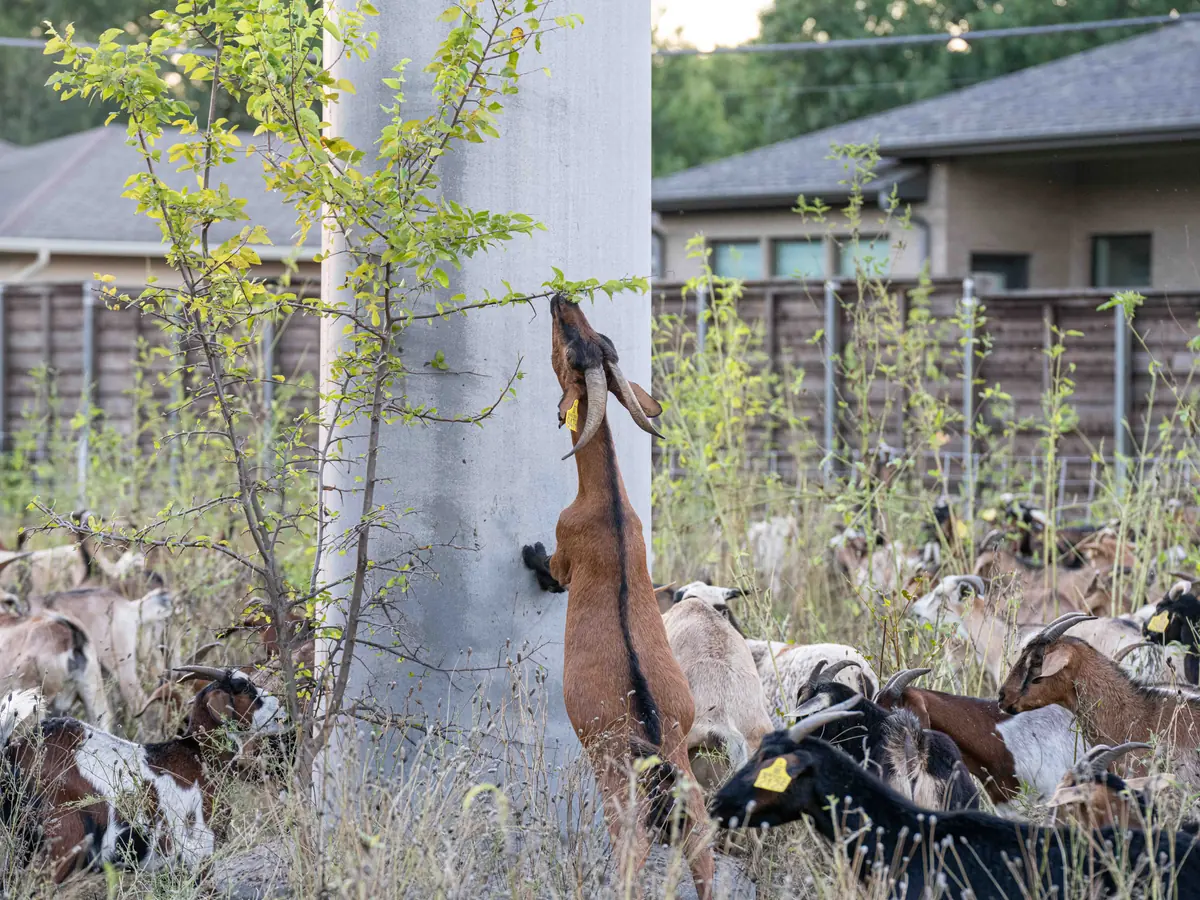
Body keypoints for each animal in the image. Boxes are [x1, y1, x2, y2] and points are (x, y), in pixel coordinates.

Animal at [0, 666, 284, 883]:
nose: (281, 709)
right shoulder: (198, 850)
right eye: (244, 689)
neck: (199, 756)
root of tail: (13, 751)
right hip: (63, 843)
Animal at [521, 296, 712, 898]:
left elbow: (552, 572)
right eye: (592, 336)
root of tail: (651, 737)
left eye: (567, 346)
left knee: (630, 853)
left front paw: (529, 552)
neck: (605, 501)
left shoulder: (569, 549)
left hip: (615, 790)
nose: (561, 299)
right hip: (690, 797)